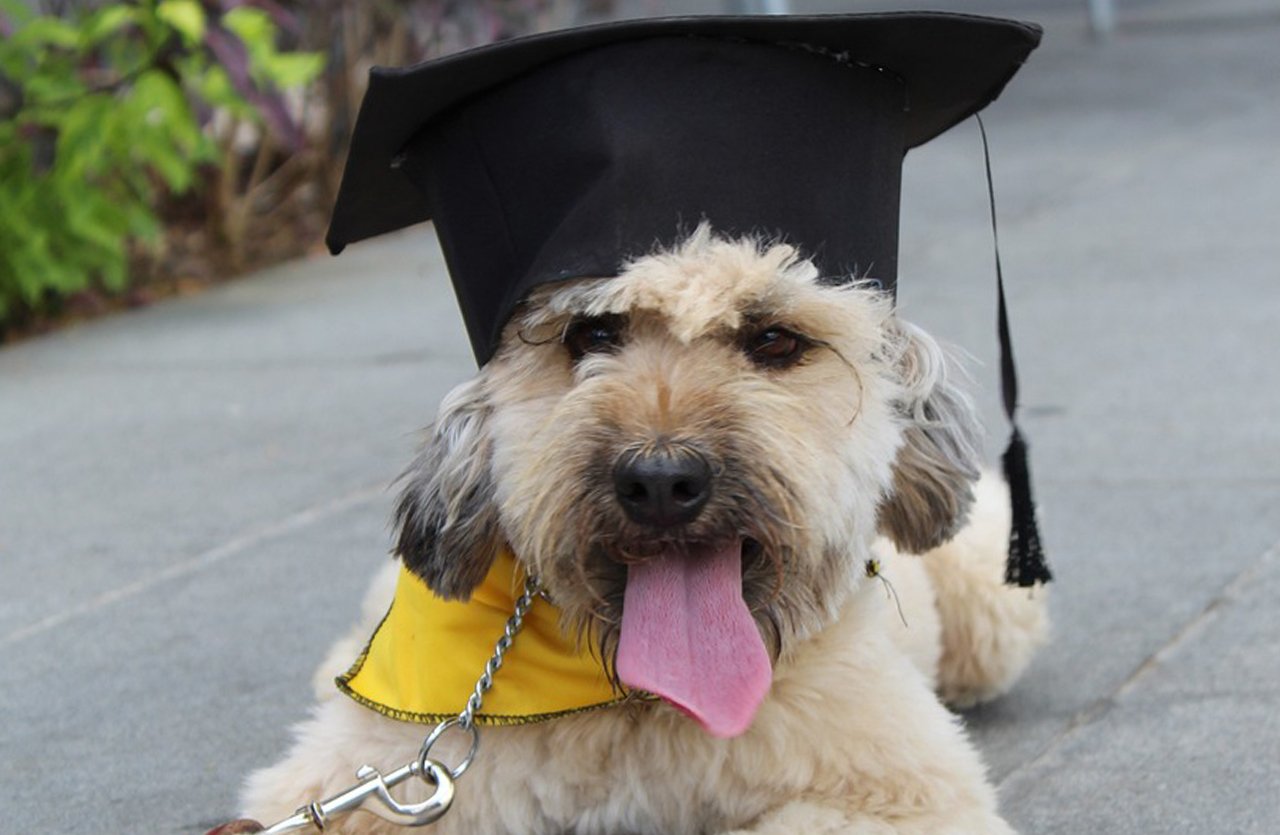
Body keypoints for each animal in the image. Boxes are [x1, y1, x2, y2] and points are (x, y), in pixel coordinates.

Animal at [241, 225, 1049, 829]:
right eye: (592, 331)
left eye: (774, 339)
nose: (661, 481)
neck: (641, 702)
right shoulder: (377, 775)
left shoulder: (900, 789)